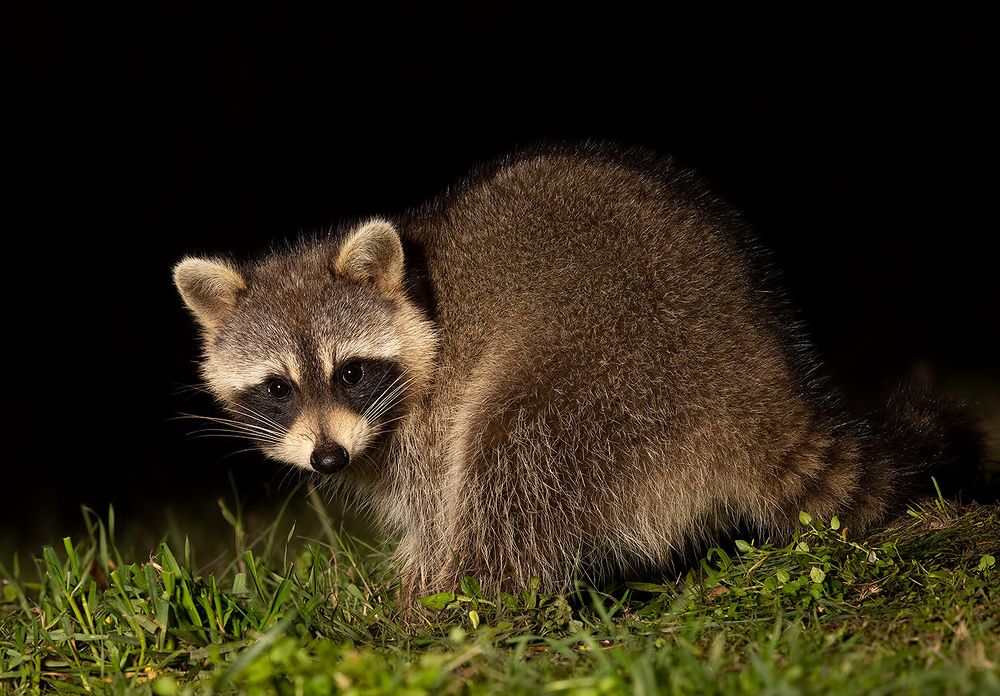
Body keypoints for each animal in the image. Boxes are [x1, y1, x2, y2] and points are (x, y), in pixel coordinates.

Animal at [174, 144, 982, 598]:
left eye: (350, 373)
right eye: (277, 387)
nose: (327, 458)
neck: (419, 298)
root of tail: (764, 388)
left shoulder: (431, 416)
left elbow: (441, 504)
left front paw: (425, 588)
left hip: (613, 375)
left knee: (511, 457)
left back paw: (470, 598)